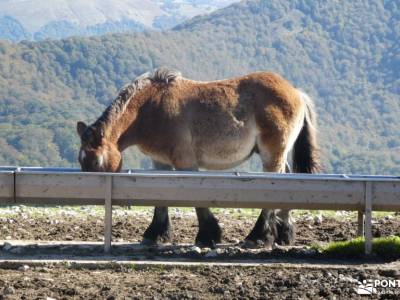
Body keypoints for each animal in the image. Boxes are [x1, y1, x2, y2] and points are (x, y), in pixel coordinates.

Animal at [76, 68, 318, 248]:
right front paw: (155, 235)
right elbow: (160, 199)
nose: (89, 194)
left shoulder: (185, 163)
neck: (149, 108)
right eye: (81, 161)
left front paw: (207, 236)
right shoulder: (161, 162)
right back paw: (284, 234)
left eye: (96, 161)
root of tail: (296, 92)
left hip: (272, 153)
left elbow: (197, 200)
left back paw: (257, 236)